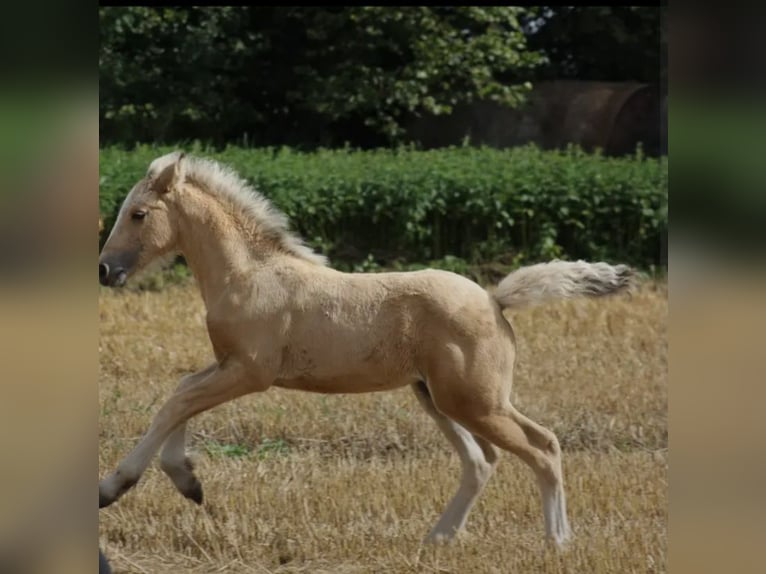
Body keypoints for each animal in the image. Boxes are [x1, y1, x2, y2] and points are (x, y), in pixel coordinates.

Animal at [97, 151, 635, 547]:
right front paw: (187, 481)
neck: (249, 273)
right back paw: (437, 539)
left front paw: (113, 487)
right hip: (437, 397)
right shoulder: (227, 364)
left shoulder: (250, 371)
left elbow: (179, 399)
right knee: (480, 461)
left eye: (139, 214)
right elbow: (183, 392)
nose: (105, 270)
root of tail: (494, 298)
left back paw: (557, 542)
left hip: (477, 401)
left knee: (542, 446)